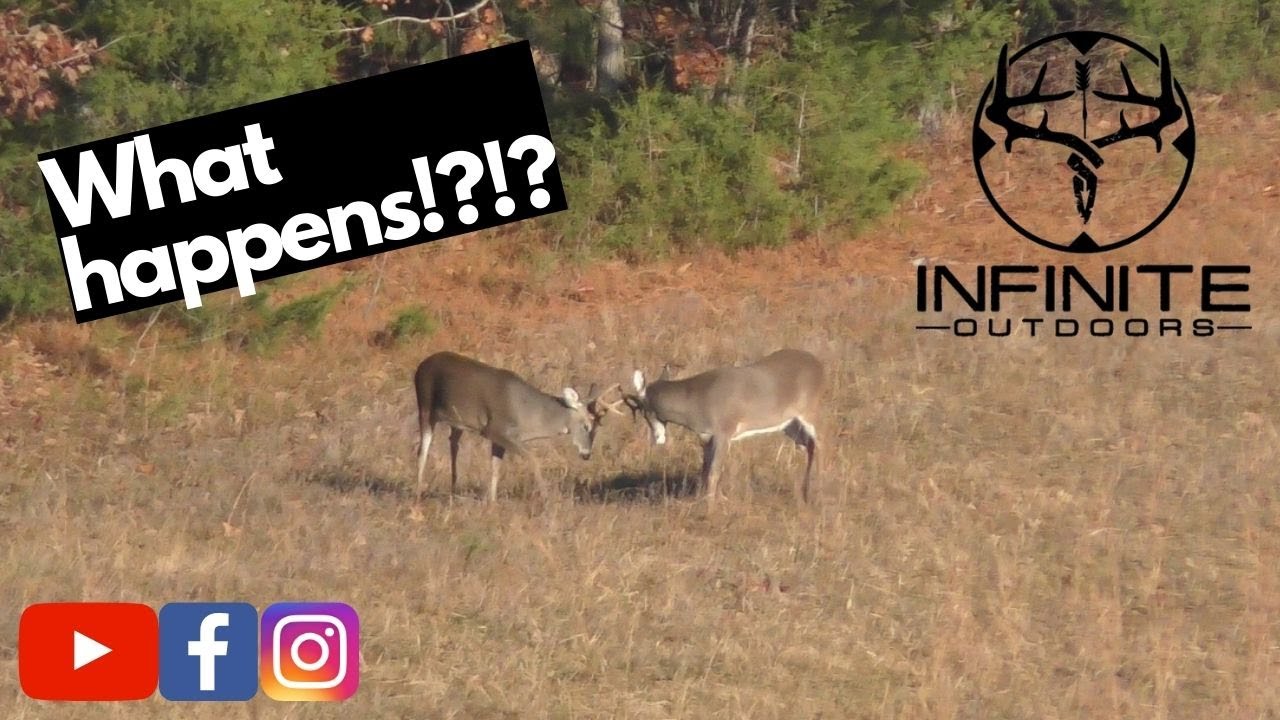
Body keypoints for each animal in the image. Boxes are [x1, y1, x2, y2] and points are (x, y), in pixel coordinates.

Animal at [413, 351, 627, 504]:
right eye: (586, 426)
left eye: (597, 428)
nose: (586, 454)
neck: (528, 415)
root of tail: (420, 366)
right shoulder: (494, 429)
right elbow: (533, 459)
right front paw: (547, 498)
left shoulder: (500, 438)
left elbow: (495, 468)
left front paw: (492, 502)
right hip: (425, 405)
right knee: (423, 449)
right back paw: (418, 494)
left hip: (456, 422)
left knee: (453, 444)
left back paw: (453, 490)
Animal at [621, 348, 826, 508]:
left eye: (643, 409)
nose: (658, 438)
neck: (696, 402)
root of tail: (818, 364)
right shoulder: (706, 436)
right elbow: (706, 470)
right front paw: (710, 499)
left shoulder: (724, 431)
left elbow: (714, 472)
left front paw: (711, 508)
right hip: (789, 425)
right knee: (808, 446)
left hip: (810, 411)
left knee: (820, 445)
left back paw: (814, 493)